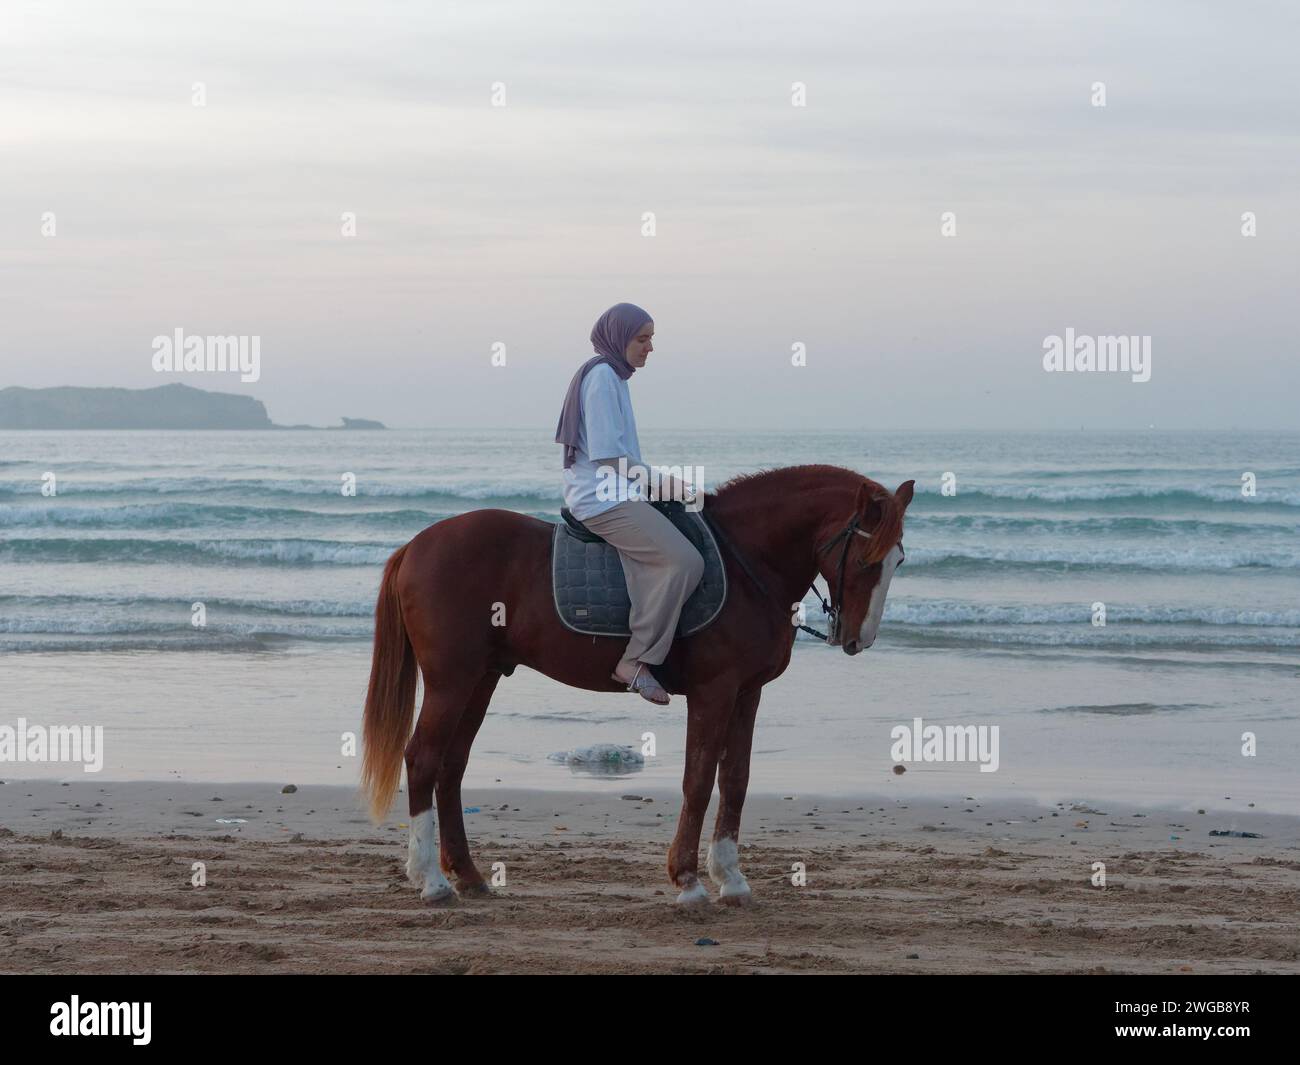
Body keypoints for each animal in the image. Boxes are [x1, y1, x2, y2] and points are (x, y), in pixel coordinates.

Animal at [364, 462, 915, 905]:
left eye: (898, 561)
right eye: (865, 561)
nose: (859, 639)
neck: (746, 561)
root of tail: (416, 545)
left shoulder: (746, 693)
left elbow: (735, 779)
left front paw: (732, 879)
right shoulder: (714, 692)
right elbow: (698, 780)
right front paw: (688, 881)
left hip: (480, 680)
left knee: (451, 767)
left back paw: (469, 876)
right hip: (451, 682)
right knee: (423, 759)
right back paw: (432, 880)